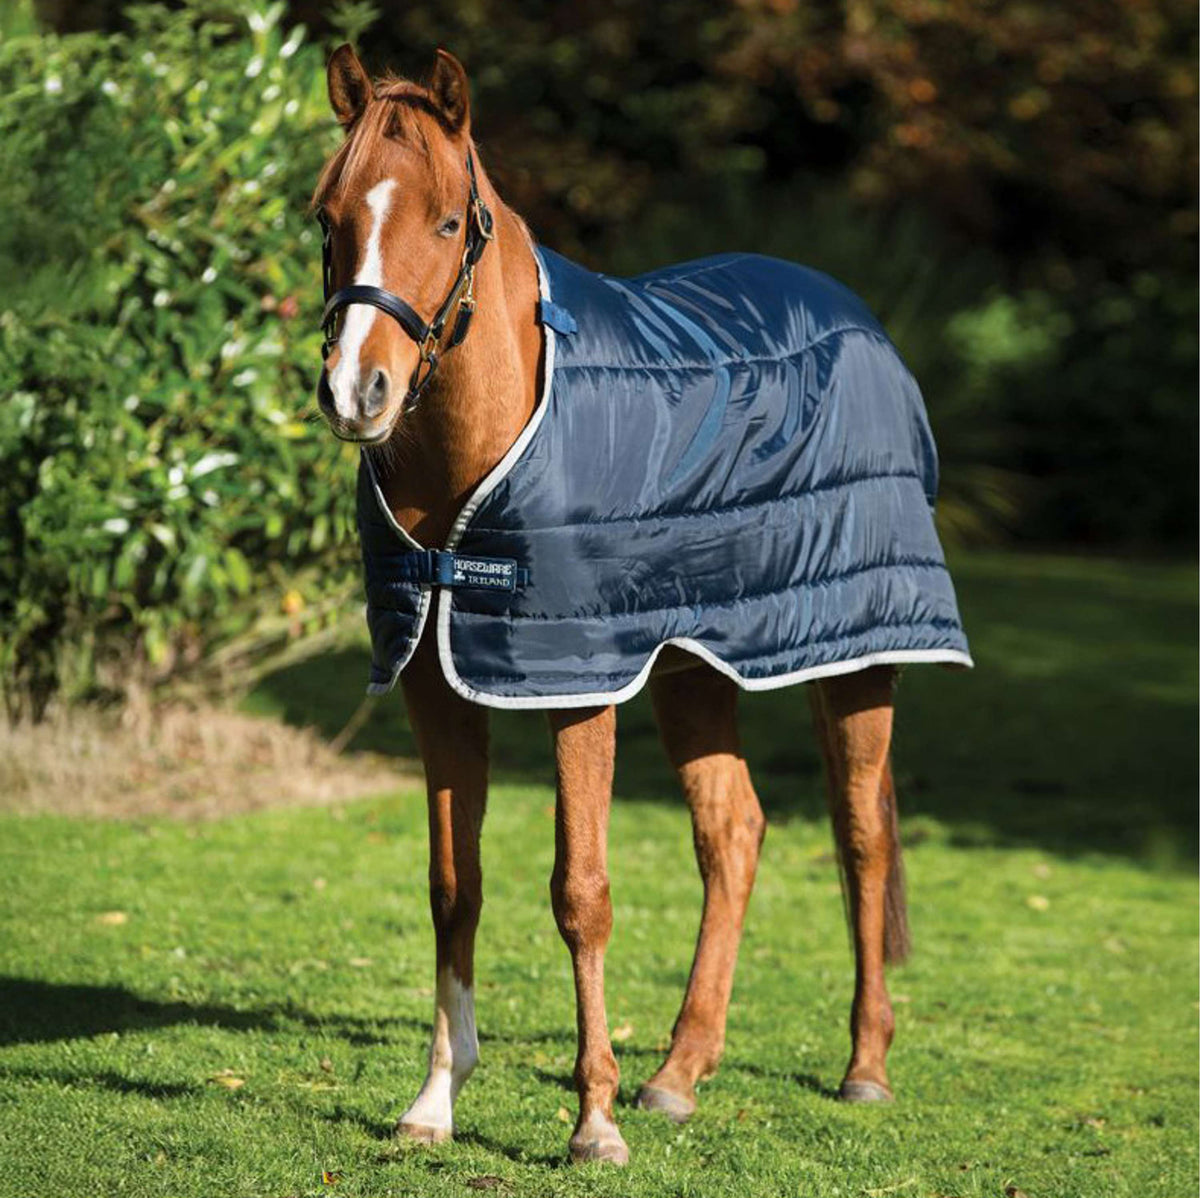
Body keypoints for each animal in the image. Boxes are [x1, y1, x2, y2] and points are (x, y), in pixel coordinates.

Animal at [311, 45, 970, 1165]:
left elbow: (581, 893)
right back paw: (679, 1074)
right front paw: (435, 1103)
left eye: (445, 222)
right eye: (328, 217)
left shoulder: (578, 686)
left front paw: (593, 1122)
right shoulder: (437, 684)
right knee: (733, 833)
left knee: (861, 838)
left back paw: (864, 1067)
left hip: (855, 655)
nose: (359, 392)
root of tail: (858, 318)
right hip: (693, 666)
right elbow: (454, 888)